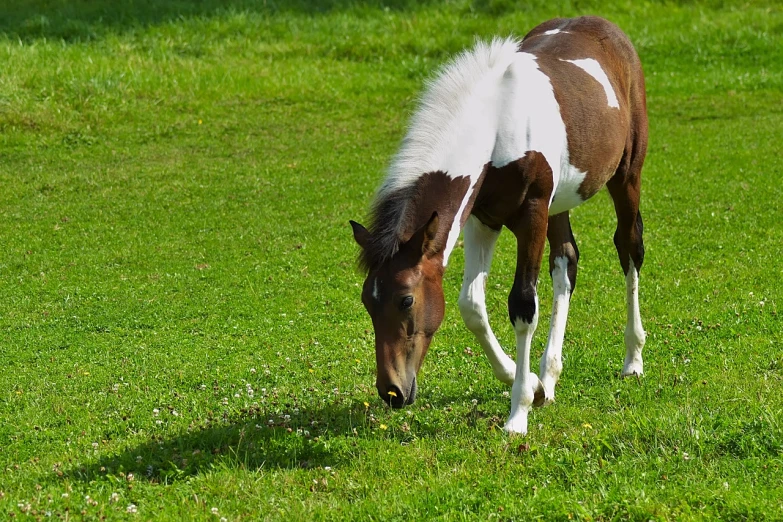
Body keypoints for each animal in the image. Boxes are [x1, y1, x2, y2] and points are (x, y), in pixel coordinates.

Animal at [350, 16, 648, 432]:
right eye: (367, 301)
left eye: (406, 299)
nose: (392, 391)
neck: (497, 122)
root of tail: (606, 27)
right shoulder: (482, 220)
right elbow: (472, 305)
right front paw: (532, 384)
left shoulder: (532, 216)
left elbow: (523, 305)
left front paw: (519, 412)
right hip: (560, 203)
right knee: (565, 261)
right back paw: (549, 376)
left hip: (626, 175)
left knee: (629, 247)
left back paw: (633, 359)